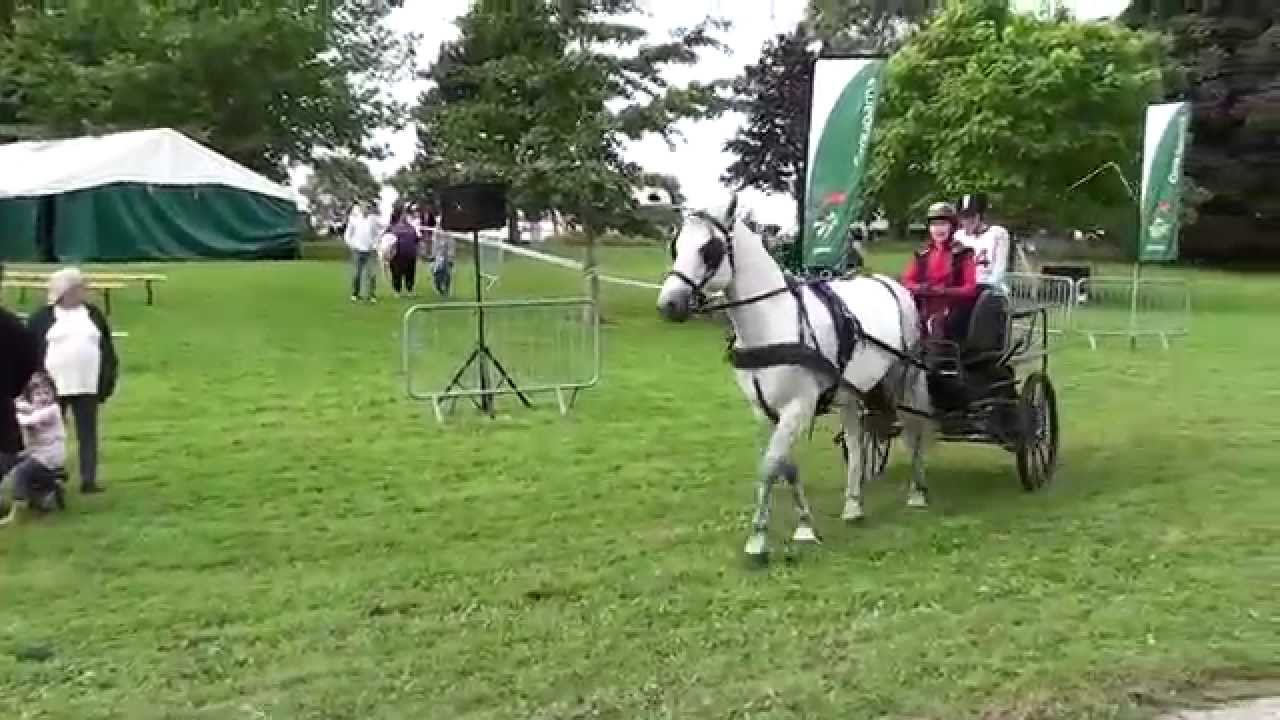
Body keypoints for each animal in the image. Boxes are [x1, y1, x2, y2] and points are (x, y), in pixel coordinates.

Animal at [655, 199, 937, 562]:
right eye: (675, 247)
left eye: (711, 249)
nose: (669, 304)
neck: (774, 321)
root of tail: (892, 284)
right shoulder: (767, 412)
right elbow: (786, 466)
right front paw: (804, 525)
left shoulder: (797, 407)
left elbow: (770, 465)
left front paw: (758, 539)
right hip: (850, 393)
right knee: (856, 444)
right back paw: (853, 505)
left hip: (903, 377)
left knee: (913, 431)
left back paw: (917, 492)